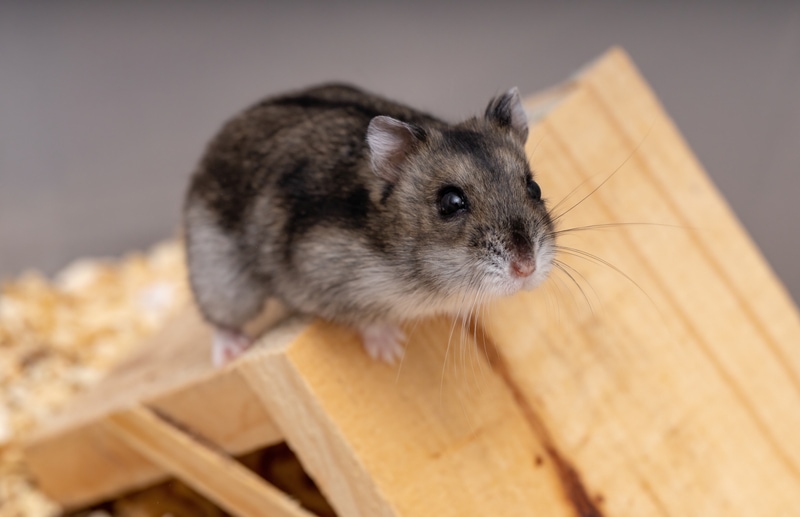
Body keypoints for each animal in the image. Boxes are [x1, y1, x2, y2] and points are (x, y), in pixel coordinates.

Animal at [183, 84, 555, 365]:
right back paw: (231, 351)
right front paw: (391, 351)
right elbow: (365, 316)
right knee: (220, 317)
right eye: (450, 203)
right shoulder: (324, 273)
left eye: (534, 187)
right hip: (221, 277)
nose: (526, 268)